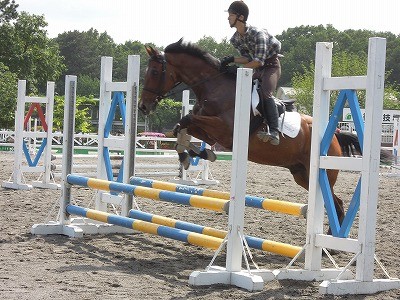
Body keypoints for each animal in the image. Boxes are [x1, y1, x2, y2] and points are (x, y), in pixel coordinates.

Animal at [139, 39, 346, 226]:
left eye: (155, 72)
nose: (143, 106)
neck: (214, 87)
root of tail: (334, 137)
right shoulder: (211, 133)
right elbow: (183, 127)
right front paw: (193, 153)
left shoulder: (225, 130)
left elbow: (187, 120)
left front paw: (192, 154)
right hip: (301, 174)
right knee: (335, 203)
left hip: (321, 176)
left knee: (336, 204)